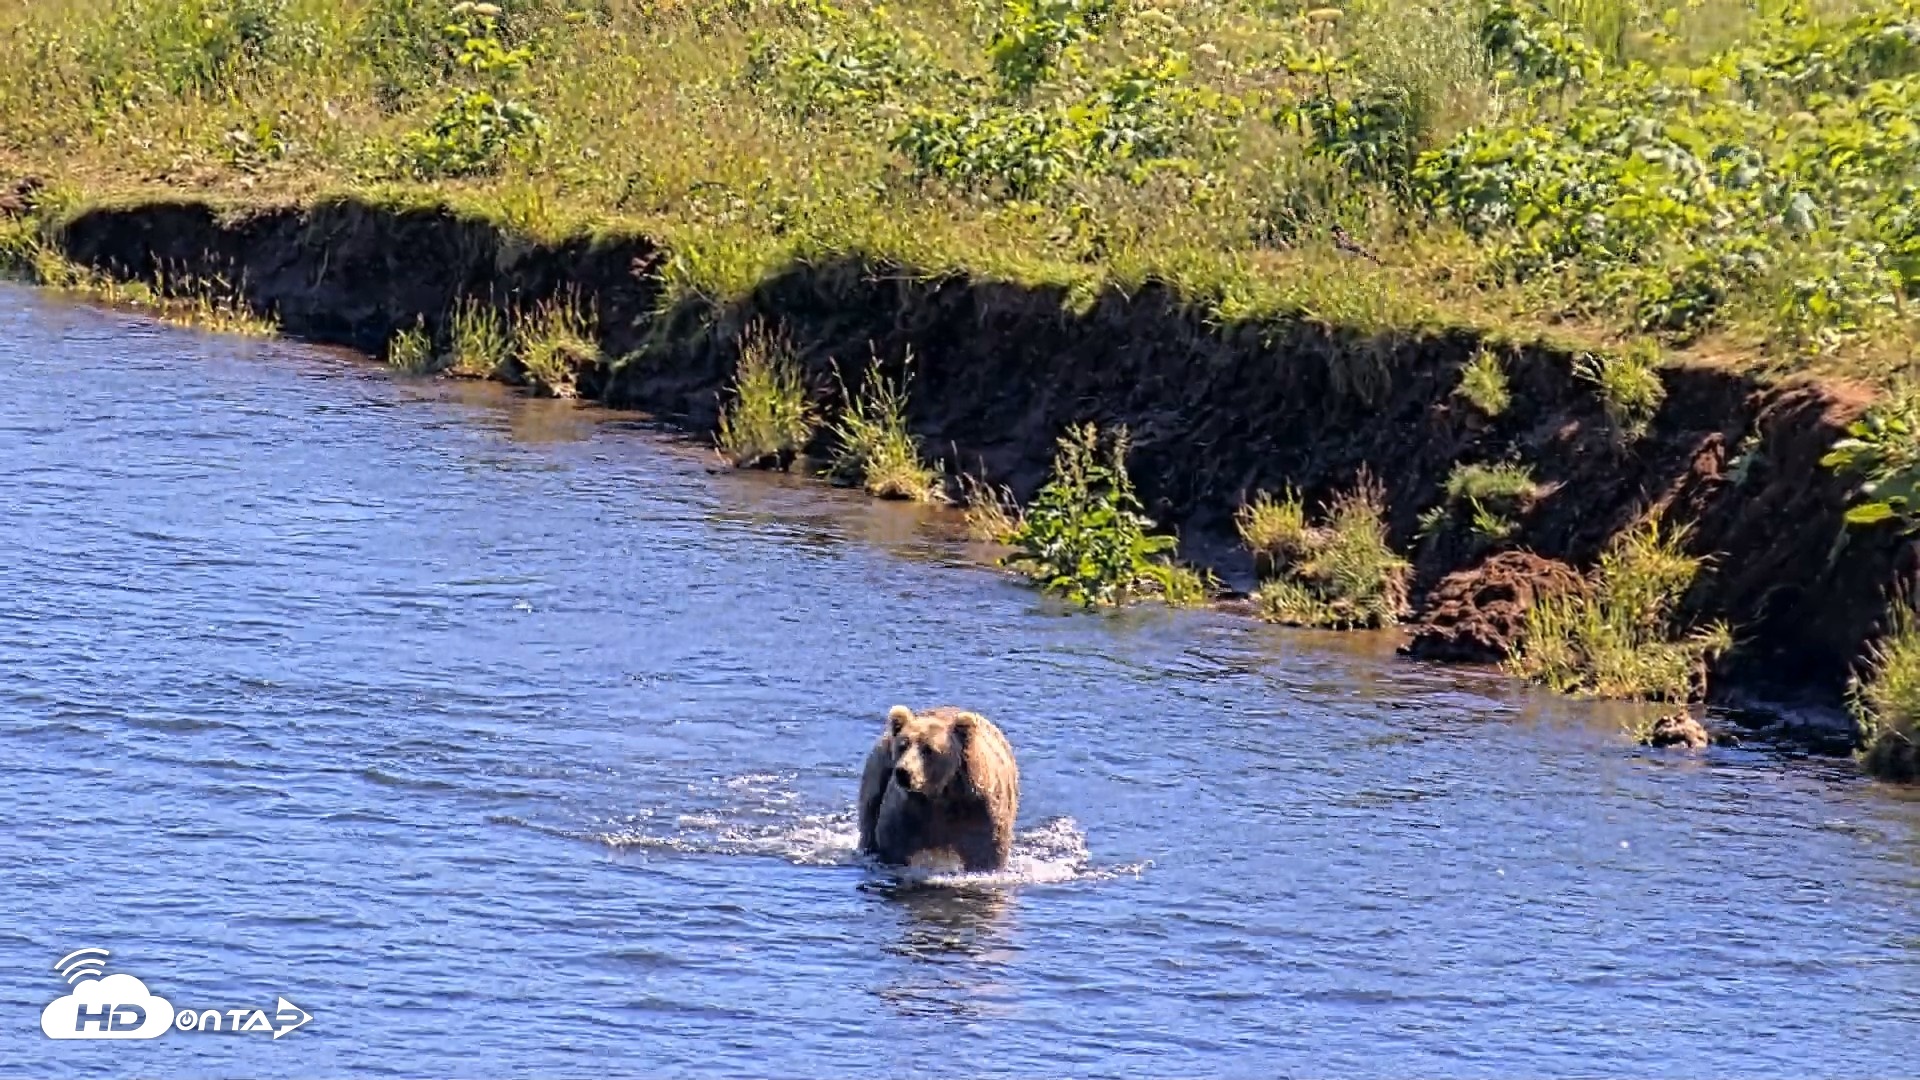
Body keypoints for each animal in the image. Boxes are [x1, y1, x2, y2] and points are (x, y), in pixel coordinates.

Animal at [857, 705, 1020, 873]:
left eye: (928, 749)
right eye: (903, 745)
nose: (903, 771)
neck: (940, 794)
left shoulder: (979, 811)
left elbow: (986, 852)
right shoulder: (908, 812)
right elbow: (894, 843)